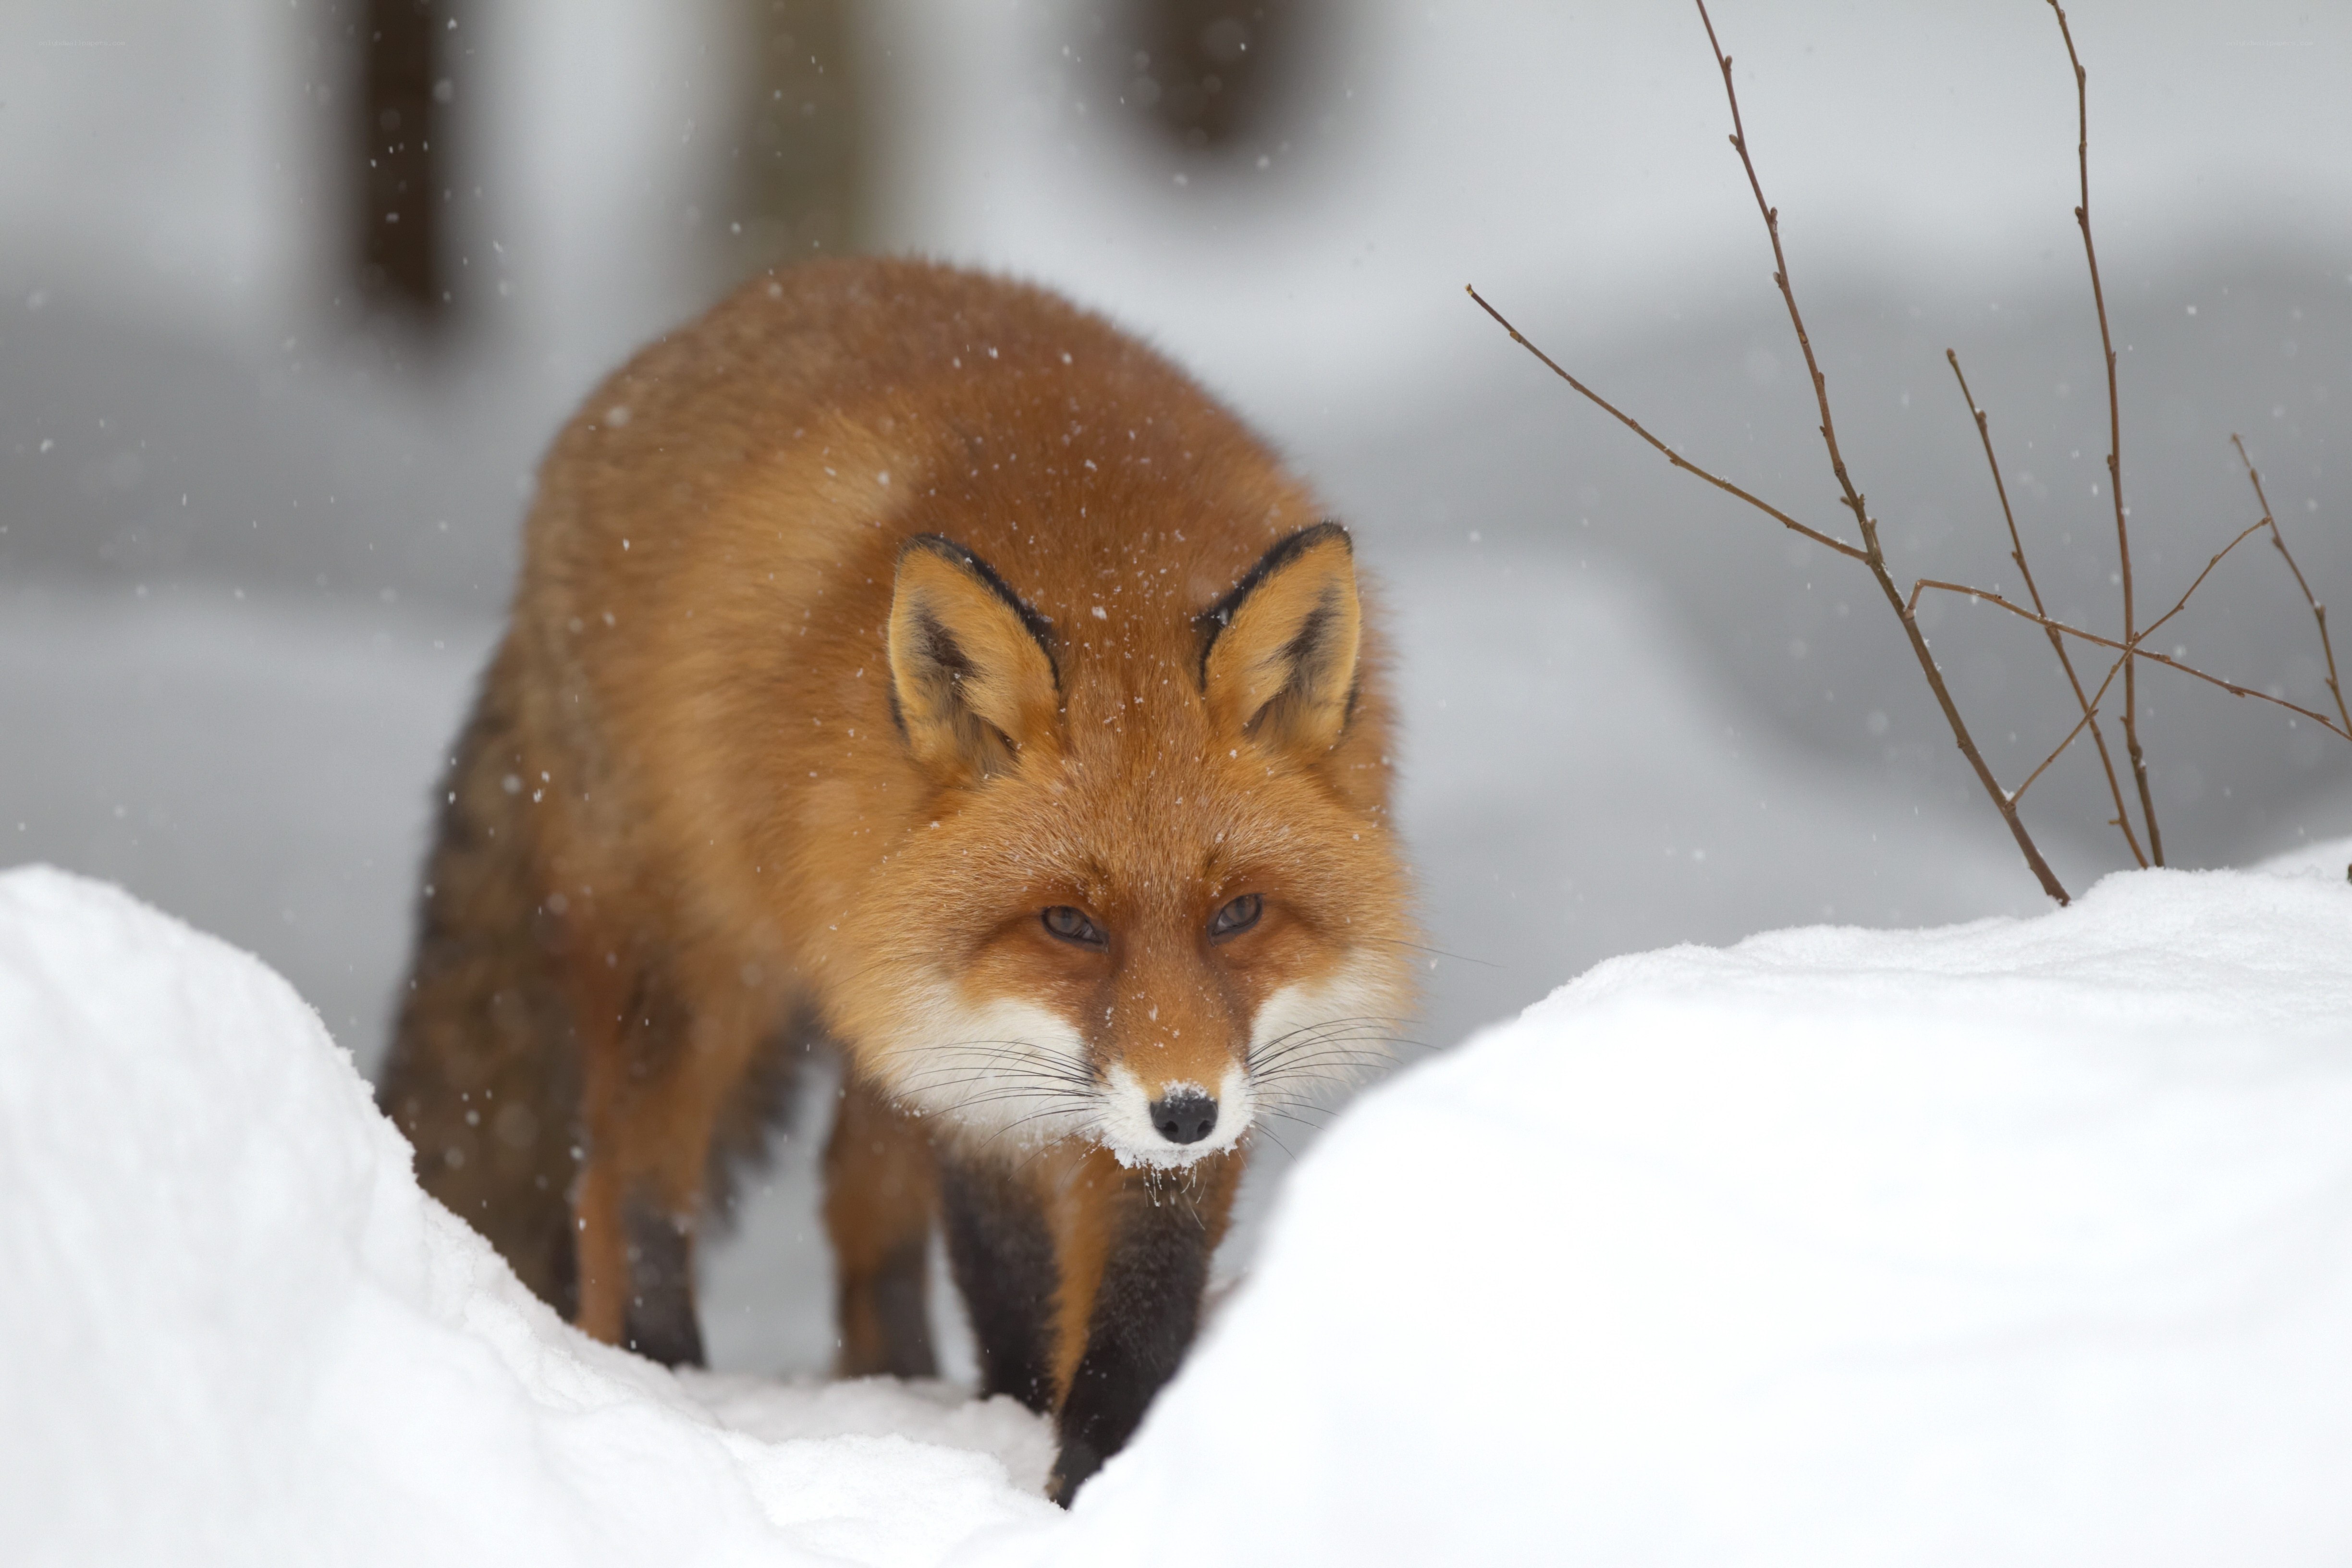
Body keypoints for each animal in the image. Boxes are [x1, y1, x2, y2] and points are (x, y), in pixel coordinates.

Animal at [376, 256, 1415, 1502]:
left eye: (1240, 913)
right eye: (1069, 922)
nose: (1183, 1111)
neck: (1102, 555)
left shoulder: (1161, 1065)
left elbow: (1141, 1294)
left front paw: (1106, 1465)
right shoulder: (973, 1069)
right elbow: (1011, 1276)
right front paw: (1032, 1432)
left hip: (870, 1001)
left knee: (853, 1202)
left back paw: (897, 1380)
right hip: (697, 975)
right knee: (622, 1184)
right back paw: (667, 1379)